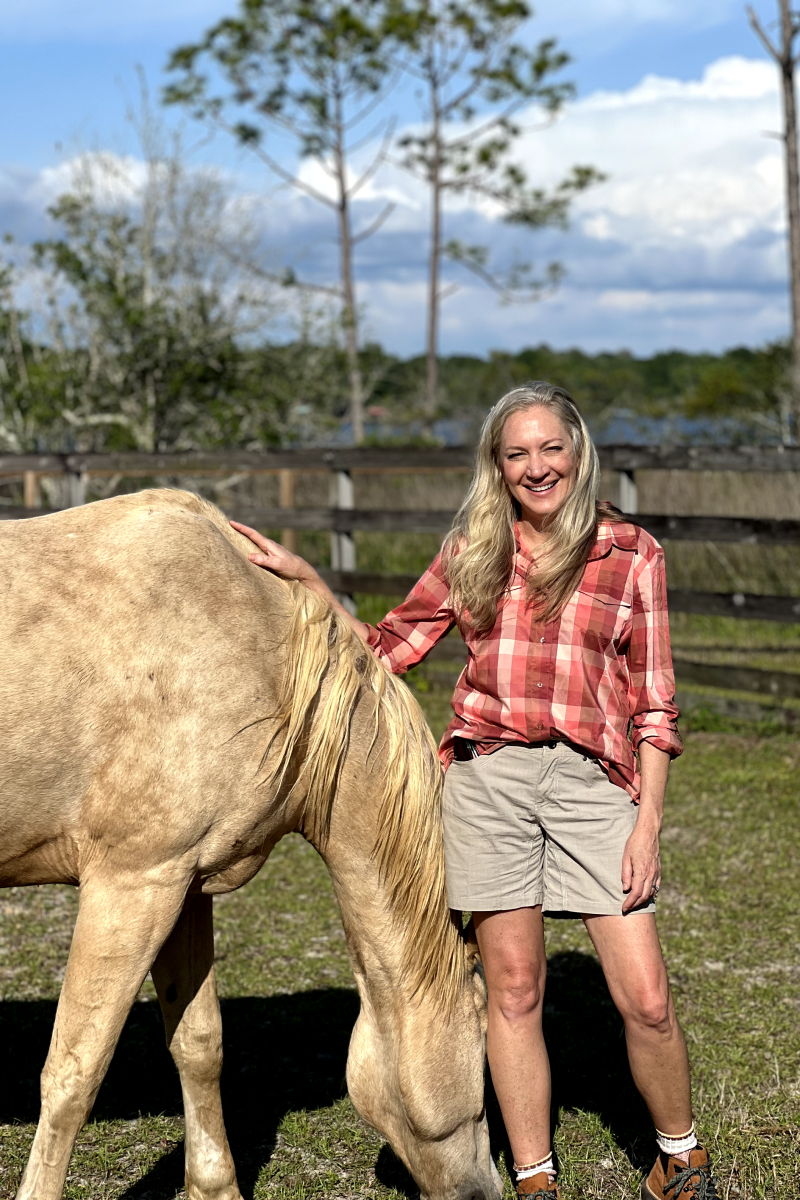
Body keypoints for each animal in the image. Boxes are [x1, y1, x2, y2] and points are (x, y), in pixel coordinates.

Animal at [0, 487, 501, 1200]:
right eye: (484, 1044)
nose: (487, 1189)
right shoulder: (131, 885)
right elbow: (75, 1071)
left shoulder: (182, 887)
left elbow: (198, 1043)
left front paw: (214, 1186)